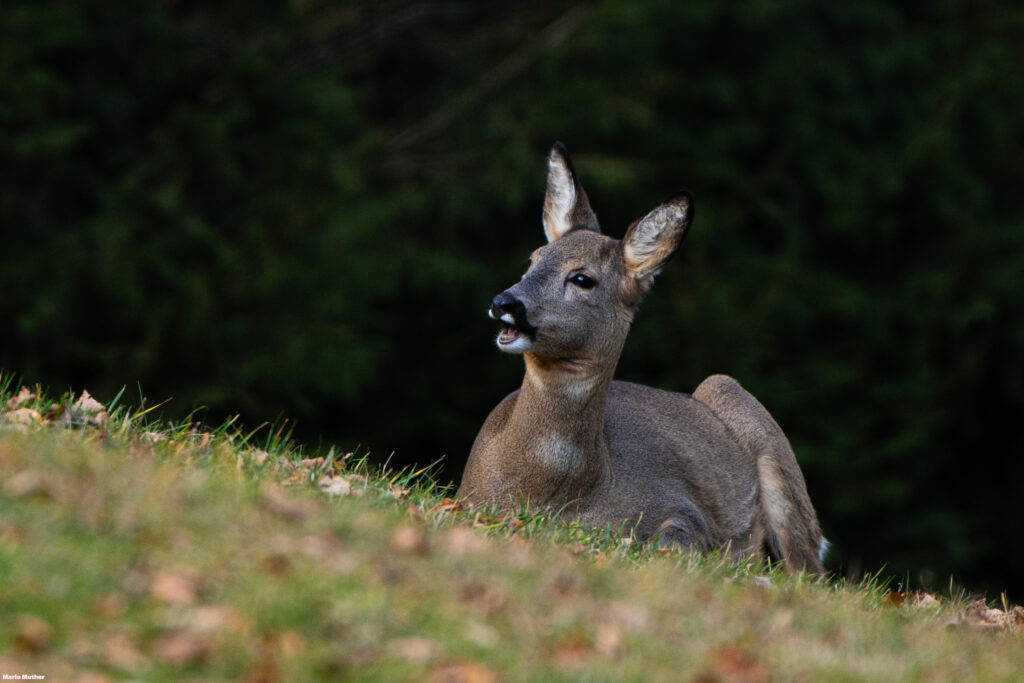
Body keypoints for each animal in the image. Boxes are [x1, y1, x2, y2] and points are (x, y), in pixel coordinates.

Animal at [460, 141, 827, 573]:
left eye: (582, 278)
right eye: (532, 260)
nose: (504, 303)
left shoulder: (681, 508)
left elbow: (676, 541)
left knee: (808, 568)